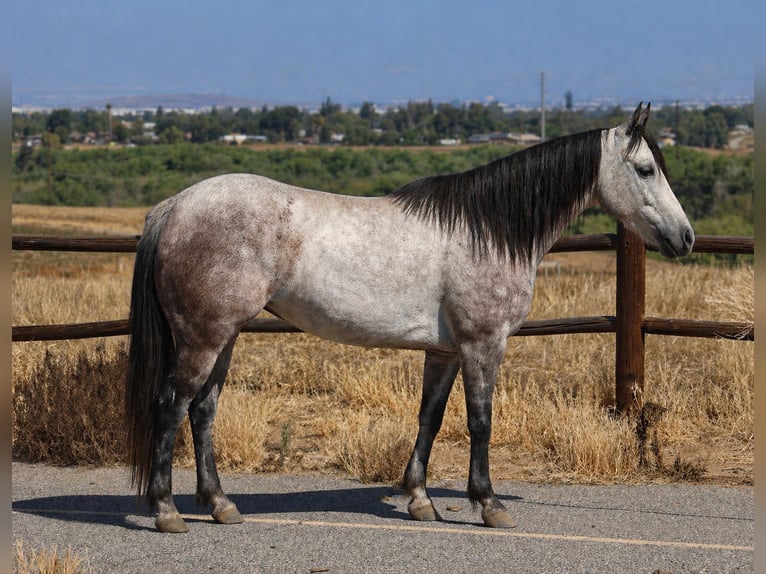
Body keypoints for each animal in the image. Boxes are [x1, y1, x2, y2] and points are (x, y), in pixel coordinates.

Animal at [125, 102, 694, 533]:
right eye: (646, 169)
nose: (685, 238)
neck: (489, 230)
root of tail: (173, 207)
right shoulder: (483, 344)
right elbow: (480, 421)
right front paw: (489, 504)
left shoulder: (443, 350)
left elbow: (430, 417)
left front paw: (420, 499)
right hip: (202, 337)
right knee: (173, 406)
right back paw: (166, 510)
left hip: (223, 337)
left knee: (203, 412)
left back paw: (221, 505)